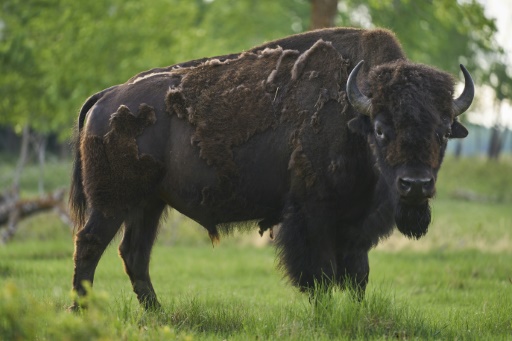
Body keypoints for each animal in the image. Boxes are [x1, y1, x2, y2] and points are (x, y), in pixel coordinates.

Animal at [68, 27, 472, 308]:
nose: (415, 184)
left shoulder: (355, 226)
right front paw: (325, 314)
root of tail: (107, 96)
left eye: (442, 132)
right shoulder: (311, 217)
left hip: (149, 204)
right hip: (112, 203)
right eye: (381, 129)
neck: (353, 115)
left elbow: (358, 276)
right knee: (89, 245)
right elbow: (319, 276)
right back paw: (81, 311)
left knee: (134, 254)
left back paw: (157, 313)